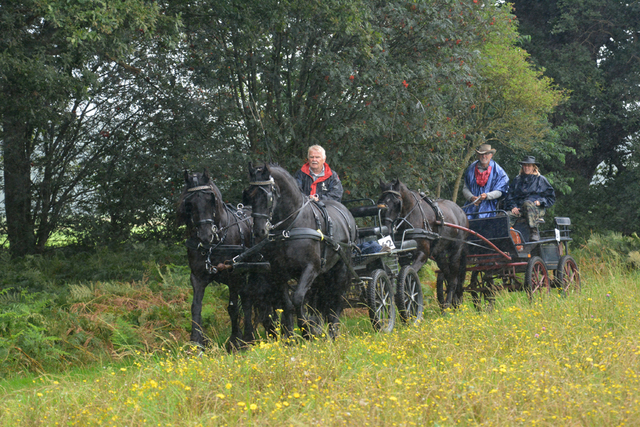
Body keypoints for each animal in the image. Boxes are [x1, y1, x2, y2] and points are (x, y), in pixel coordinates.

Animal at [176, 171, 274, 352]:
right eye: (190, 202)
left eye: (211, 199)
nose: (206, 235)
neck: (214, 244)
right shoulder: (197, 277)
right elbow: (196, 307)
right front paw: (196, 343)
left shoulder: (233, 276)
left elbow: (233, 308)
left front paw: (235, 341)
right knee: (249, 298)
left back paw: (256, 334)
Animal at [242, 164, 358, 342]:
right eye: (249, 195)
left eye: (268, 196)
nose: (259, 231)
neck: (290, 227)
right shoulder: (279, 272)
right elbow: (287, 304)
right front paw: (291, 337)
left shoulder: (310, 268)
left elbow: (297, 299)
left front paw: (307, 330)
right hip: (323, 274)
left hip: (341, 268)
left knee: (337, 298)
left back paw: (332, 333)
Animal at [378, 181, 468, 310]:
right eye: (380, 201)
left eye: (397, 203)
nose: (386, 229)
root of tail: (462, 212)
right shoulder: (404, 258)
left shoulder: (423, 254)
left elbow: (410, 276)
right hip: (440, 256)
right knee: (448, 276)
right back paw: (453, 303)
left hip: (456, 252)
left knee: (453, 280)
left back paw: (447, 307)